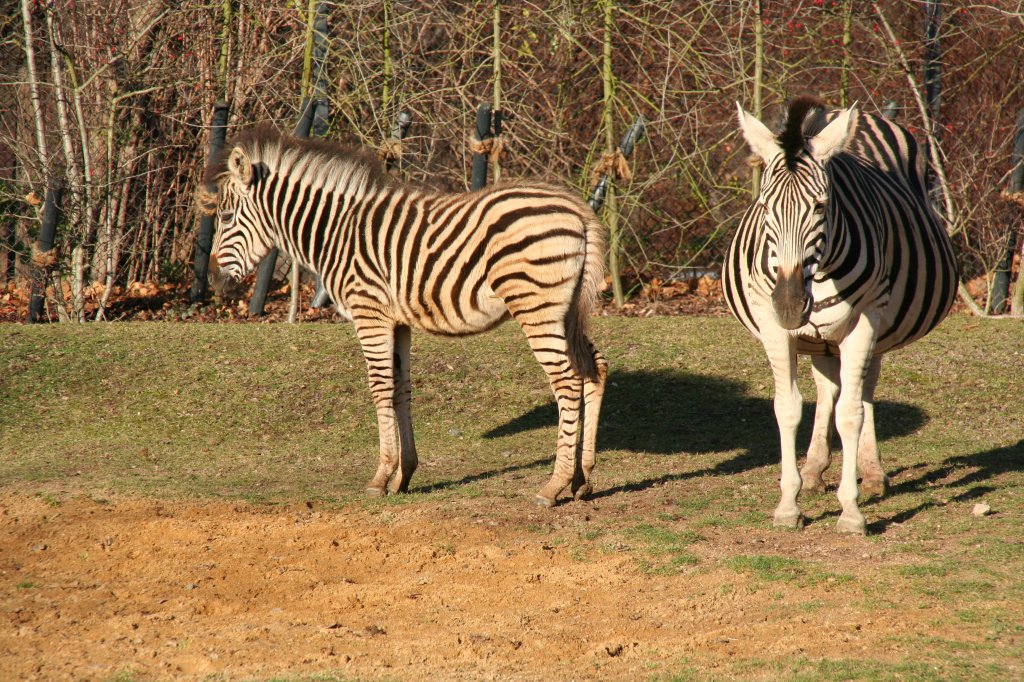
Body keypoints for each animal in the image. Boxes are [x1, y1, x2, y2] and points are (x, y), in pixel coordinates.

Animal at [197, 124, 606, 503]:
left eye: (227, 217)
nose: (213, 280)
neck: (337, 232)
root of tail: (579, 210)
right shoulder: (399, 323)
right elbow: (401, 388)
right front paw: (403, 475)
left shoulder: (370, 314)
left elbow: (379, 387)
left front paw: (380, 477)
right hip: (567, 310)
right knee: (595, 369)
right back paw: (582, 478)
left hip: (537, 306)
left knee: (567, 381)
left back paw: (554, 485)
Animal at [720, 95, 958, 532]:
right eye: (764, 208)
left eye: (820, 207)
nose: (790, 304)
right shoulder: (774, 324)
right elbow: (788, 407)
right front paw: (788, 504)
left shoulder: (864, 321)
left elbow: (851, 412)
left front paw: (851, 511)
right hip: (821, 340)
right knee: (829, 387)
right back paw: (814, 469)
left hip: (876, 327)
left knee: (861, 390)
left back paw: (873, 473)